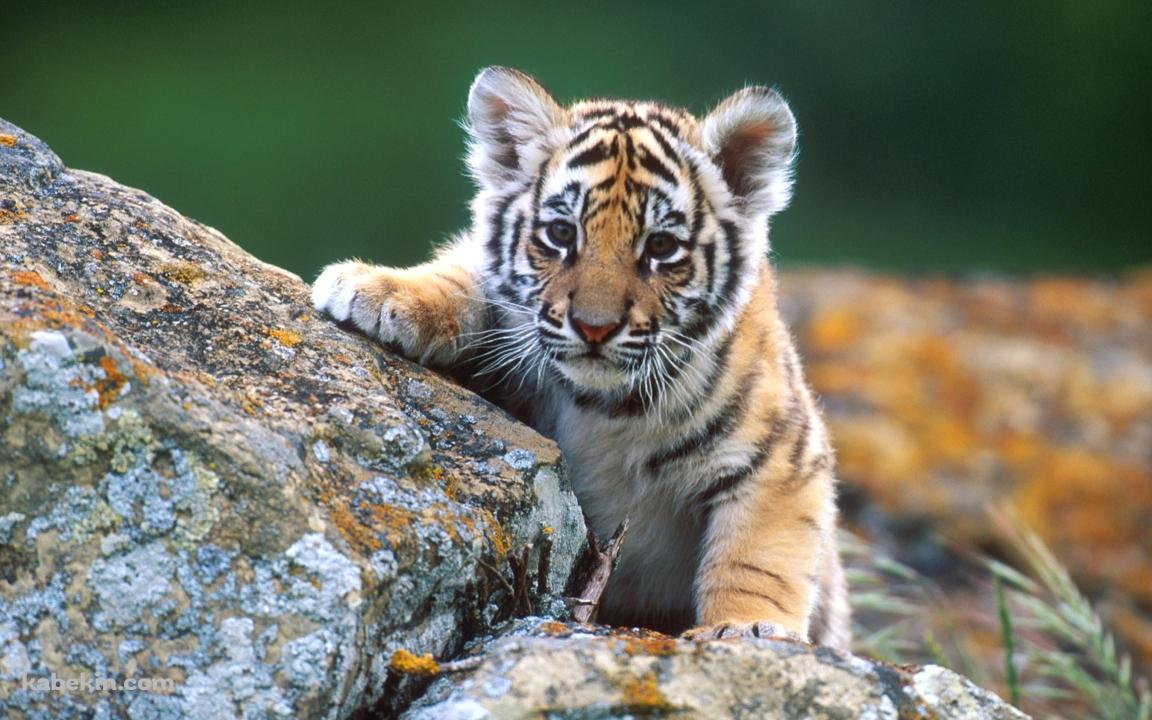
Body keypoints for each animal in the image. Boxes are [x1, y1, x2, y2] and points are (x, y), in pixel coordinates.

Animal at [311, 66, 850, 649]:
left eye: (661, 247)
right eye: (561, 233)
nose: (595, 327)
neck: (605, 407)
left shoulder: (782, 457)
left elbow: (756, 557)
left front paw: (748, 628)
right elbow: (465, 275)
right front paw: (377, 289)